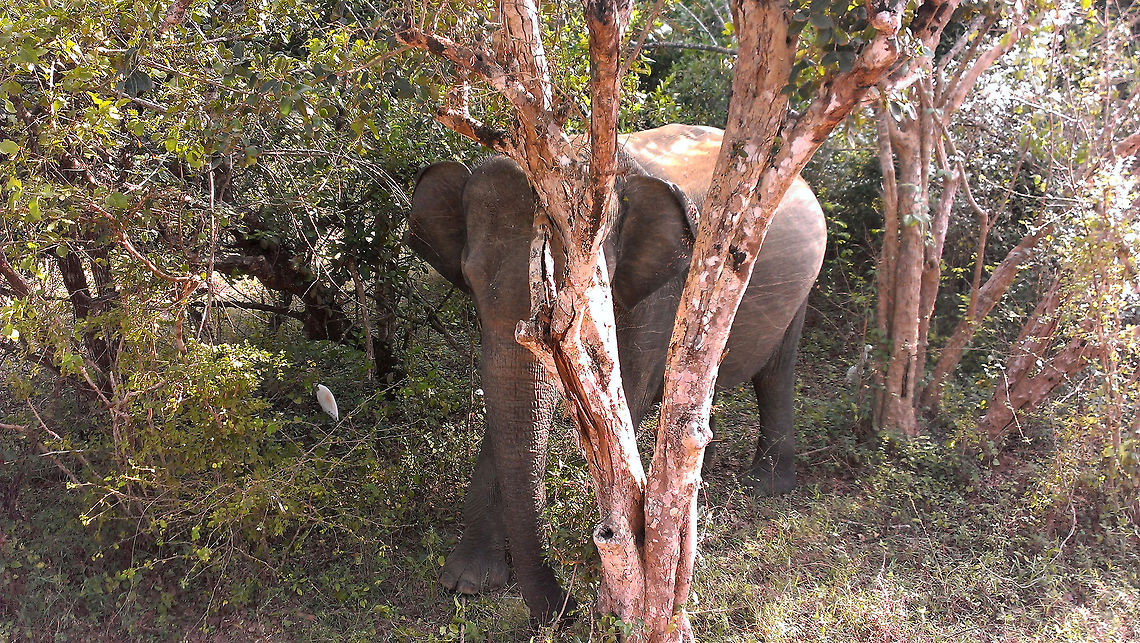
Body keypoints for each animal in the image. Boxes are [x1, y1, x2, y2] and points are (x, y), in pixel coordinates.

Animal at [407, 124, 826, 621]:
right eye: (467, 279)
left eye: (584, 285)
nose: (564, 608)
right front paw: (467, 582)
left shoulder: (667, 292)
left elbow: (628, 394)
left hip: (801, 286)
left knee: (775, 373)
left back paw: (765, 487)